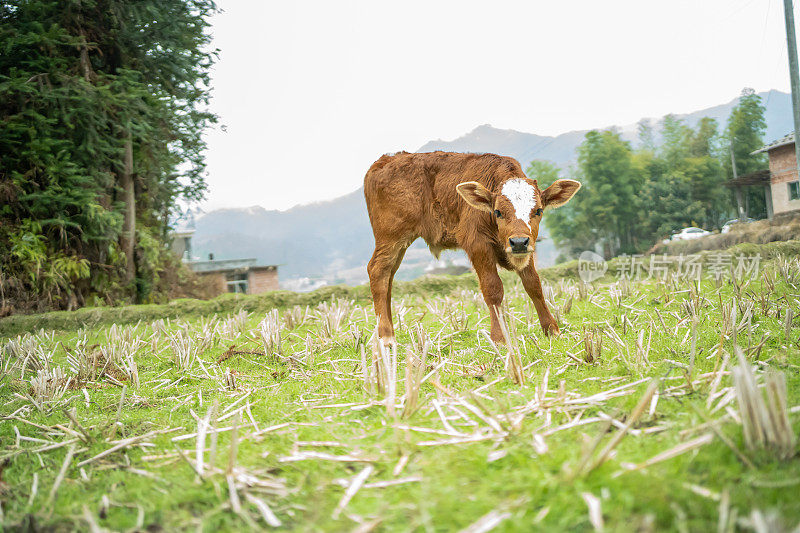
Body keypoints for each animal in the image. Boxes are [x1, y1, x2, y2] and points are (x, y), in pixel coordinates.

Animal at [364, 150, 580, 344]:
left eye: (539, 211)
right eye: (498, 212)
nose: (518, 242)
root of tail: (384, 160)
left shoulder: (527, 251)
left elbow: (534, 284)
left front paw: (551, 329)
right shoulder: (478, 244)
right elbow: (493, 288)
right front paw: (499, 338)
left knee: (388, 277)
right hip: (391, 237)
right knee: (378, 271)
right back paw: (386, 336)